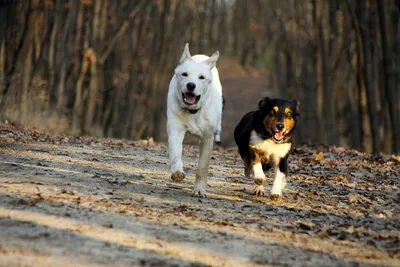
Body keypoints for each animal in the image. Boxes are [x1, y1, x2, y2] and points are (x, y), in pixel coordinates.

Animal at [166, 42, 222, 197]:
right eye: (184, 74)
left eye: (201, 77)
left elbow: (203, 167)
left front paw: (199, 189)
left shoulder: (208, 137)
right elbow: (175, 153)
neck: (192, 112)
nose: (191, 85)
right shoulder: (175, 129)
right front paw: (177, 172)